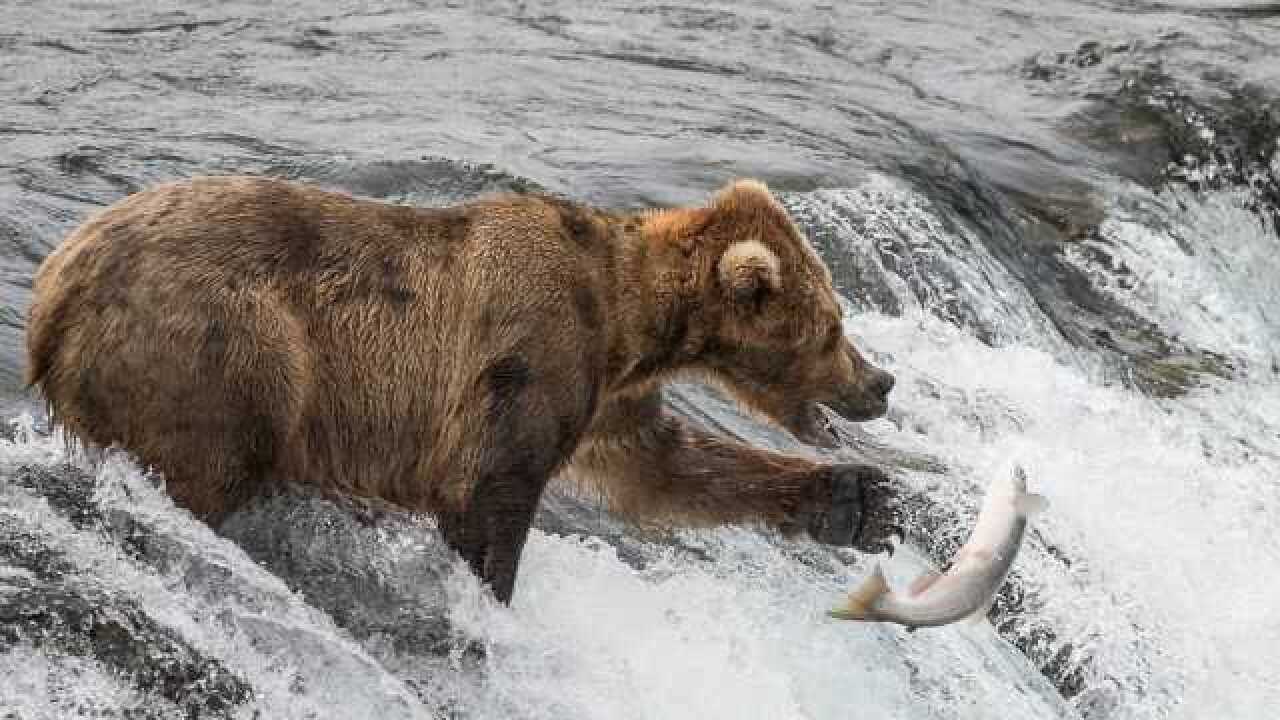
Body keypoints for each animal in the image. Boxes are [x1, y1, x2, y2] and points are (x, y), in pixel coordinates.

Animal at [22, 175, 901, 599]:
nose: (883, 380)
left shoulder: (607, 396)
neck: (629, 321)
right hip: (227, 348)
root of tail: (52, 290)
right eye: (833, 326)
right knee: (206, 461)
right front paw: (491, 597)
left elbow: (665, 468)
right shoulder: (535, 354)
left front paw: (861, 503)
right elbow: (492, 496)